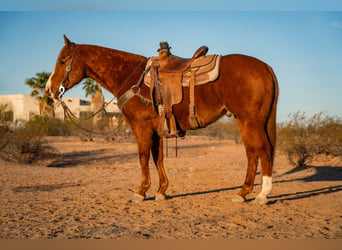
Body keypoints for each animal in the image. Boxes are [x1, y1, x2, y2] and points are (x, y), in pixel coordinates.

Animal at [45, 35, 280, 204]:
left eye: (63, 61)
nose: (49, 89)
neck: (132, 77)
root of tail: (266, 67)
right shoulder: (155, 129)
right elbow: (157, 157)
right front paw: (161, 191)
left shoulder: (141, 127)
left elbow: (142, 157)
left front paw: (141, 192)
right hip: (247, 121)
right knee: (253, 153)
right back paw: (243, 193)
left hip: (251, 121)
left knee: (262, 150)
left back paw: (261, 195)